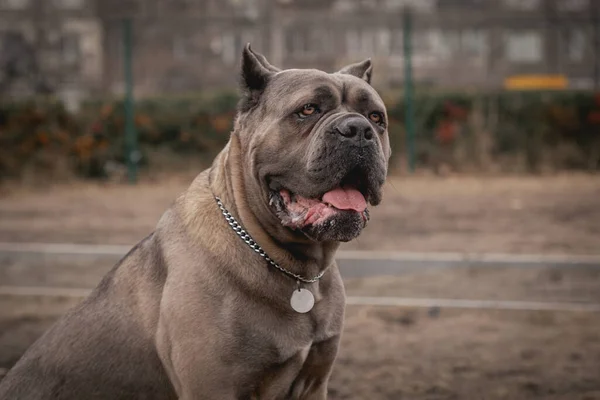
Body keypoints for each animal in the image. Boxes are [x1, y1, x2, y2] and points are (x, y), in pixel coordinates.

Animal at [0, 44, 392, 400]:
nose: (357, 129)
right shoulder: (215, 387)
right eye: (308, 109)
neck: (292, 266)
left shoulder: (313, 383)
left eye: (376, 118)